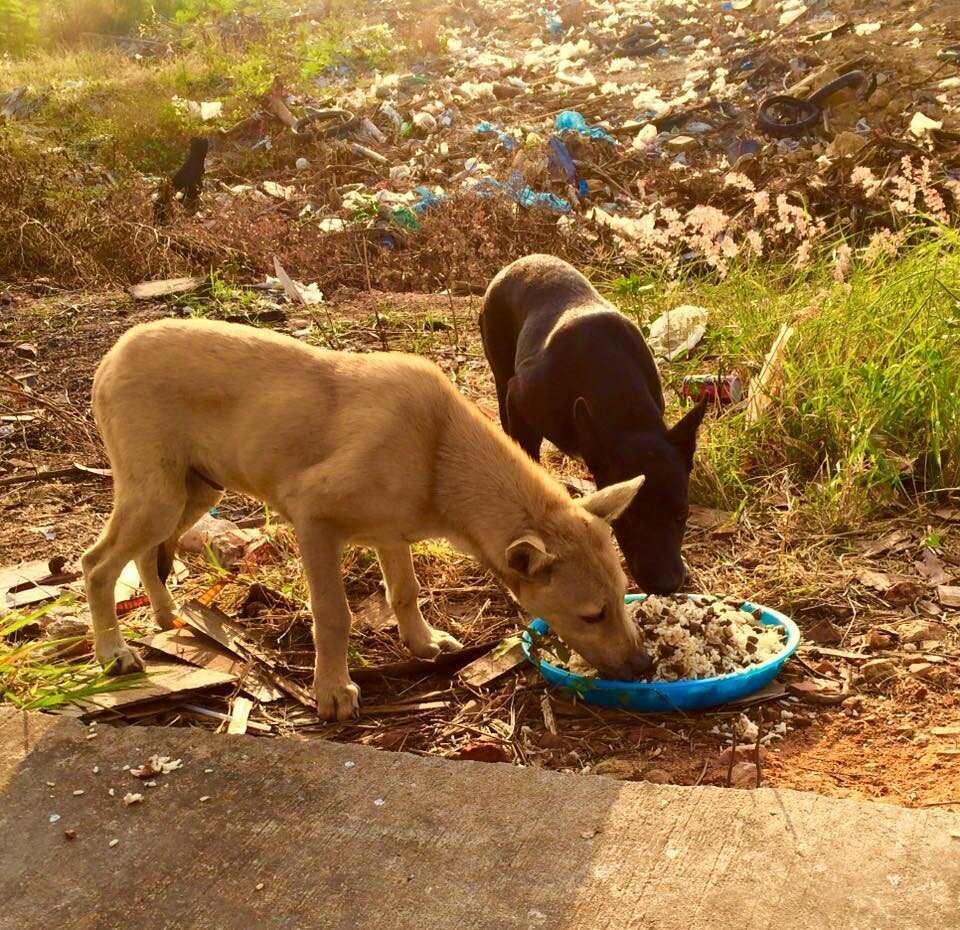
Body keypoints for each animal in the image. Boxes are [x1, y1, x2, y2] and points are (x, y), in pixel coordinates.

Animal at [82, 320, 648, 716]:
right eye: (592, 616)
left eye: (624, 596)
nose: (645, 666)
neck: (440, 452)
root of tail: (114, 352)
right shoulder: (313, 519)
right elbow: (333, 615)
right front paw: (333, 691)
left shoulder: (391, 534)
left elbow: (405, 592)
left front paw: (423, 644)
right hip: (156, 495)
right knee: (97, 564)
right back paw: (113, 652)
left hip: (192, 493)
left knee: (146, 555)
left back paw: (163, 616)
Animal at [478, 254, 704, 592]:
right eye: (628, 519)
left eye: (682, 514)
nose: (665, 584)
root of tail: (519, 262)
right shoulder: (518, 397)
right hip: (501, 376)